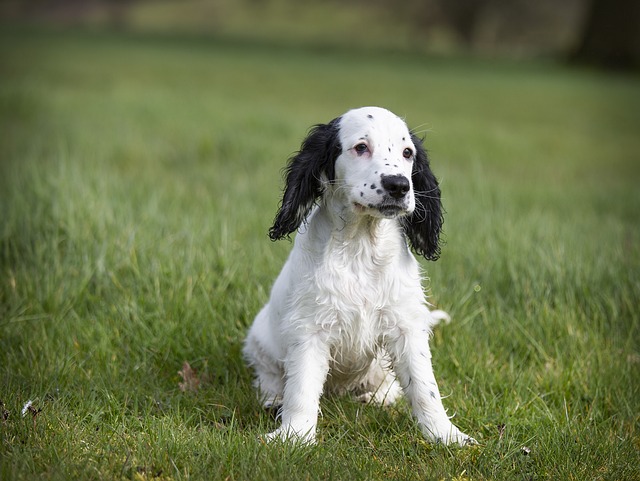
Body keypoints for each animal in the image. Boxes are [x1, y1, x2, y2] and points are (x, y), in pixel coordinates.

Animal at [245, 107, 476, 444]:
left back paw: (378, 397)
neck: (360, 245)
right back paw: (272, 397)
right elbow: (301, 390)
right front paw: (293, 437)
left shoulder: (406, 326)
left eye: (408, 153)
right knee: (270, 375)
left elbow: (424, 386)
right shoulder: (309, 330)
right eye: (361, 147)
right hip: (259, 339)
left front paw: (446, 436)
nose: (399, 185)